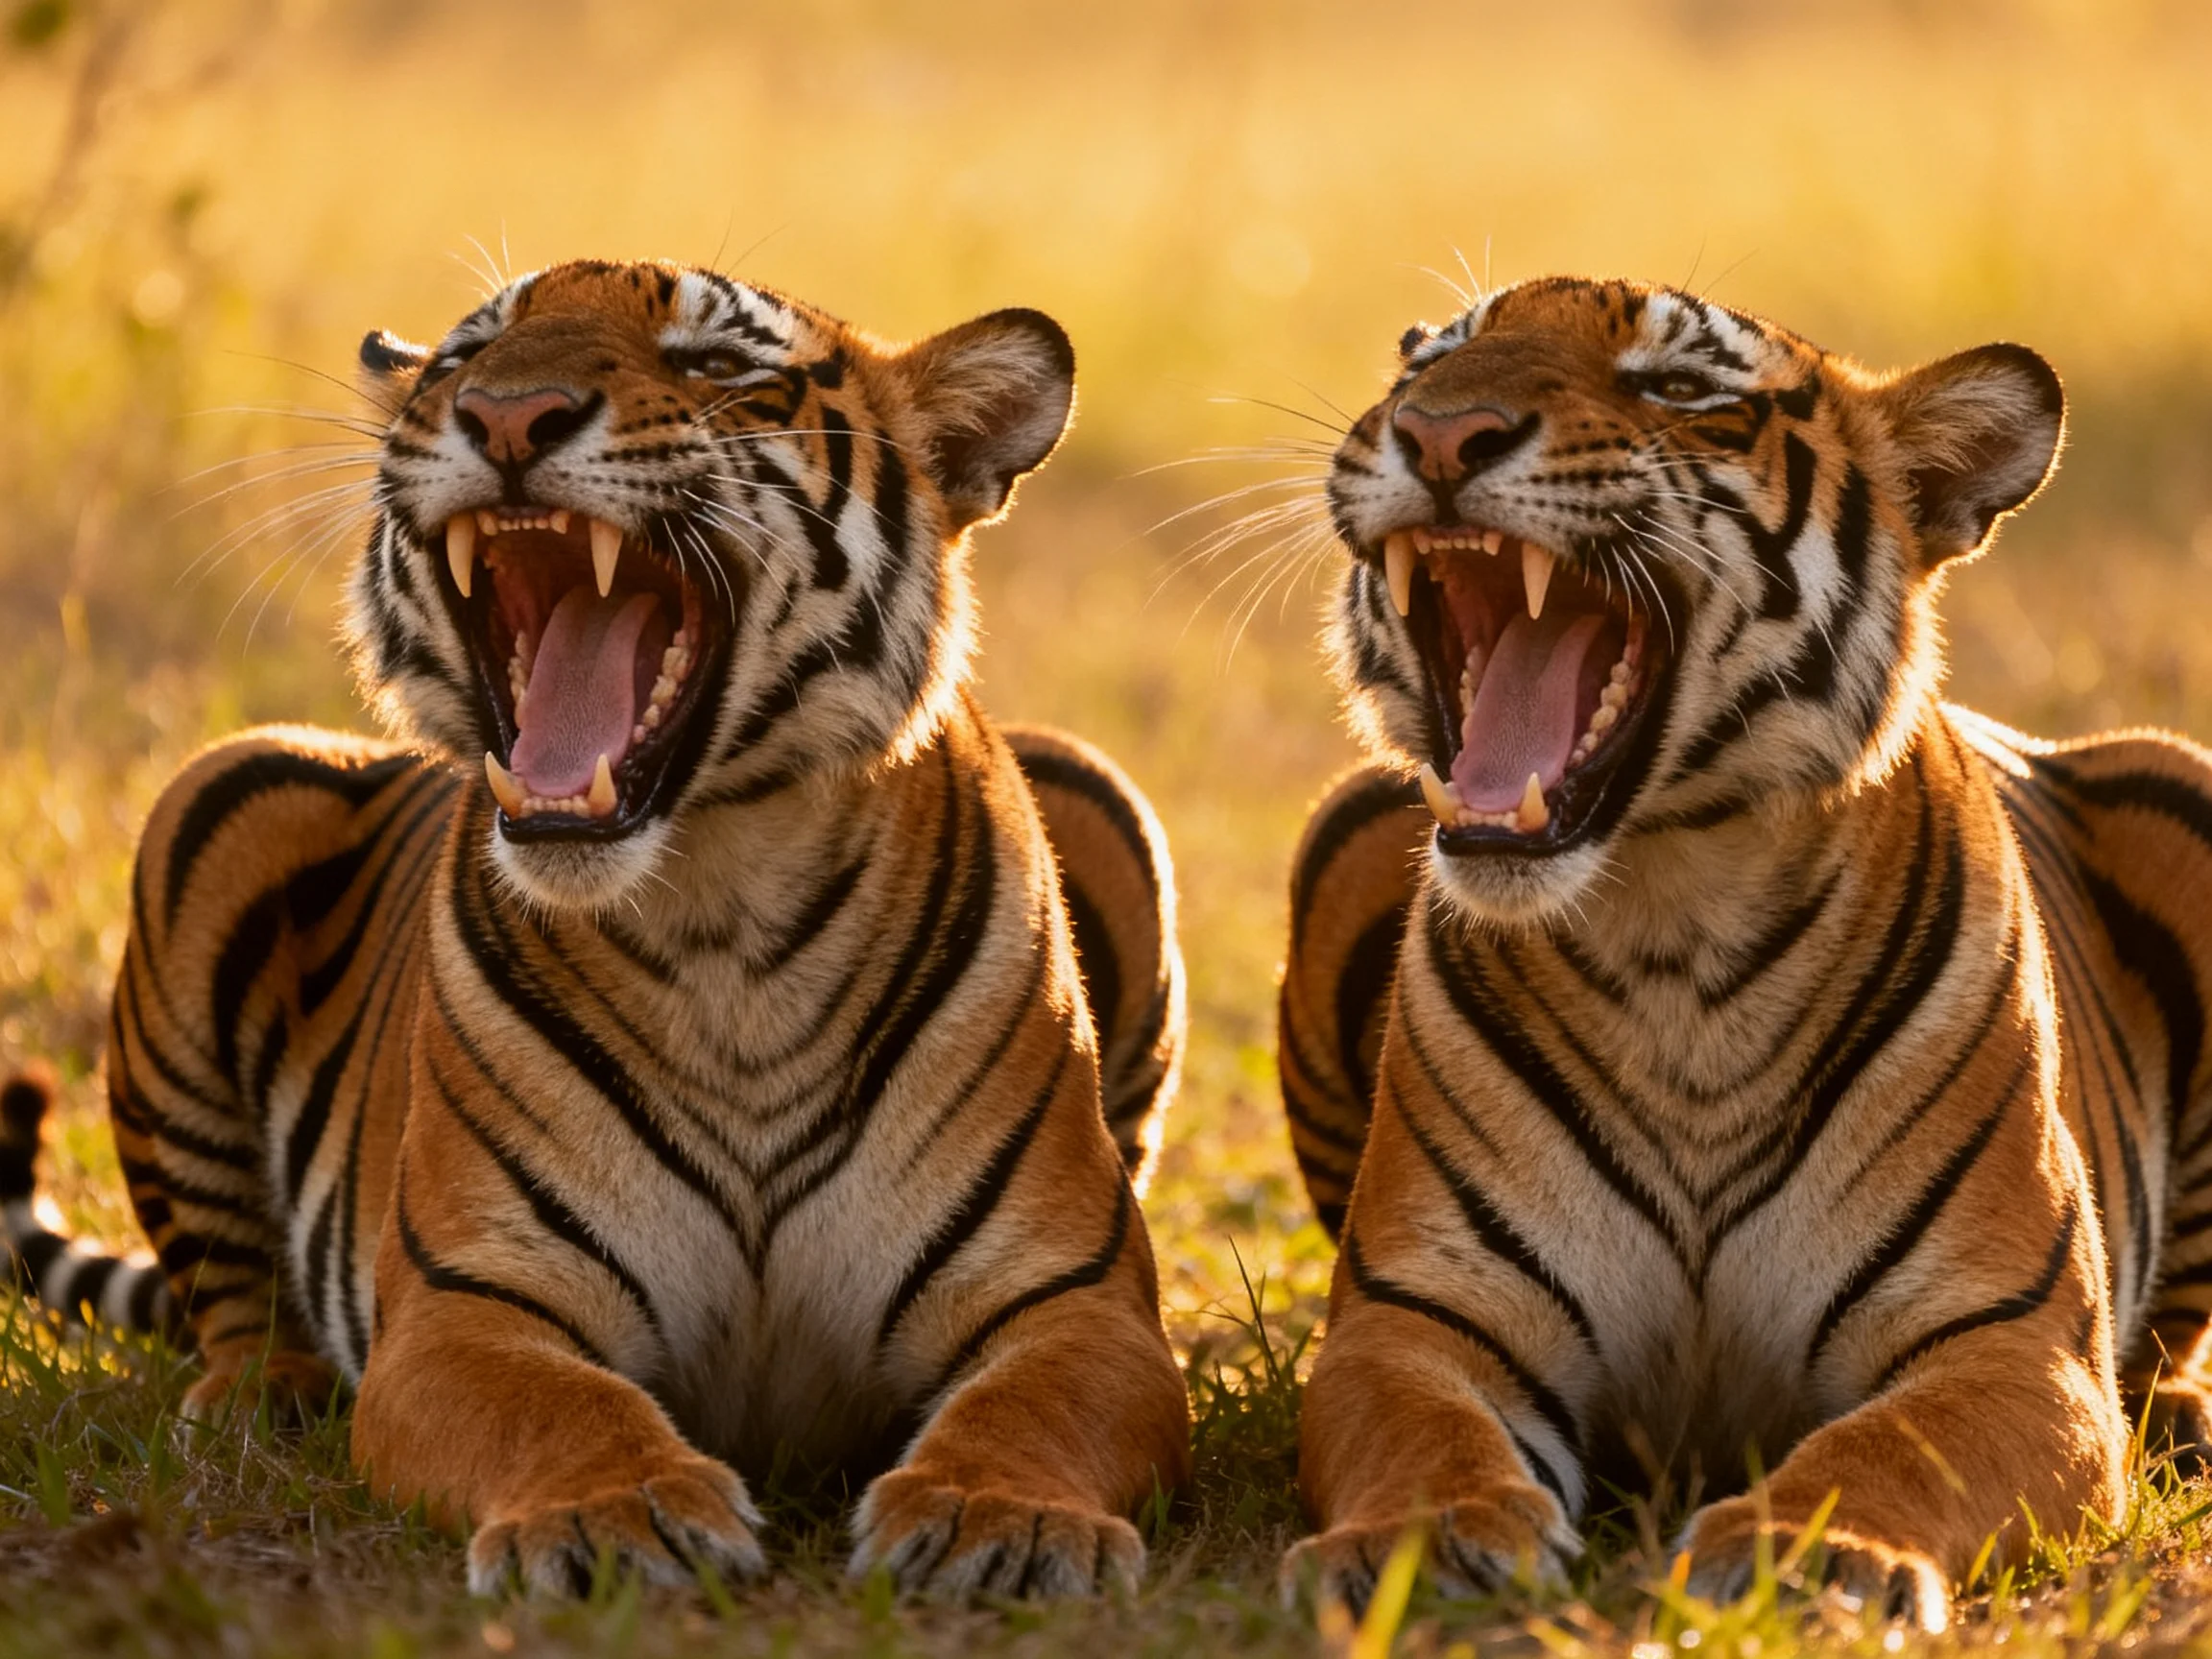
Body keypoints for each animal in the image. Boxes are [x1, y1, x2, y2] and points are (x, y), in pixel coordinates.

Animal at [0, 258, 1193, 1599]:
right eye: (465, 355)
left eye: (715, 365)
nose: (510, 417)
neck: (725, 923)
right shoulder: (470, 1304)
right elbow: (557, 1409)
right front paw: (615, 1515)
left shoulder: (1077, 1300)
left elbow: (1035, 1408)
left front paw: (1001, 1520)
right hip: (220, 793)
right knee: (231, 1299)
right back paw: (264, 1396)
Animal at [1275, 274, 2212, 1629]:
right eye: (1423, 367)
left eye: (1679, 388)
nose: (1440, 435)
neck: (1674, 932)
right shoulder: (1420, 1317)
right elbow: (1424, 1436)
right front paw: (1419, 1542)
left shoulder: (2007, 1340)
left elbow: (1887, 1450)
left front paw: (1810, 1554)